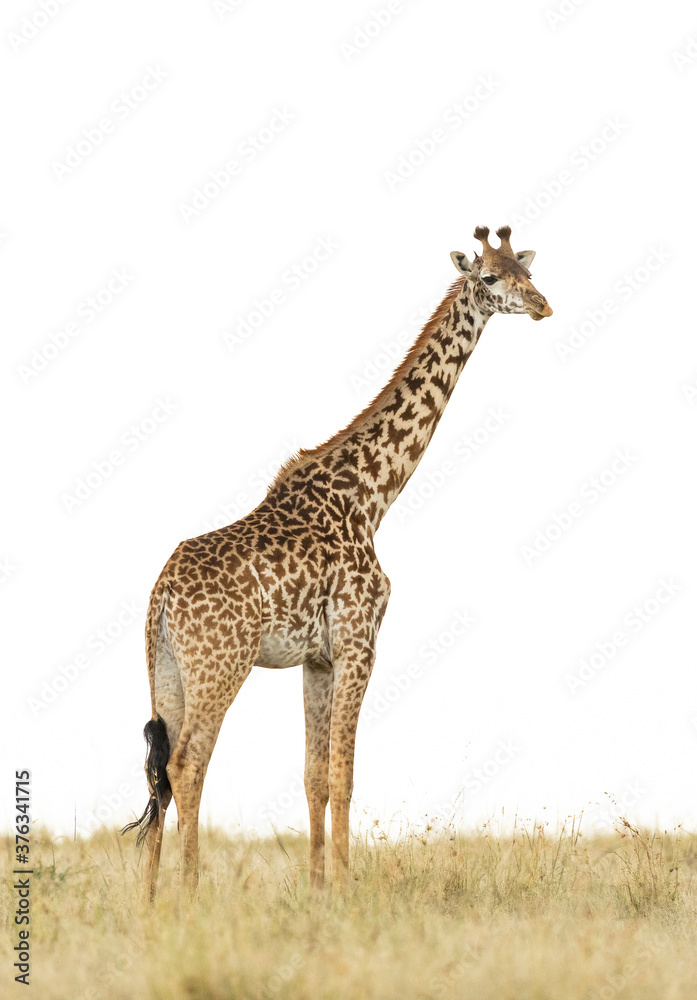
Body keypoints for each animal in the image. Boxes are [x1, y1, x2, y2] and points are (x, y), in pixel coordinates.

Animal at [123, 225, 553, 899]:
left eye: (526, 271)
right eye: (489, 277)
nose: (542, 305)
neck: (372, 496)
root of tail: (161, 594)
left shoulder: (317, 659)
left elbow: (314, 776)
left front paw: (319, 889)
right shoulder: (359, 642)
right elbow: (346, 773)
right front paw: (350, 891)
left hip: (163, 668)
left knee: (159, 770)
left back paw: (147, 903)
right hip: (220, 664)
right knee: (190, 761)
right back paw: (188, 895)